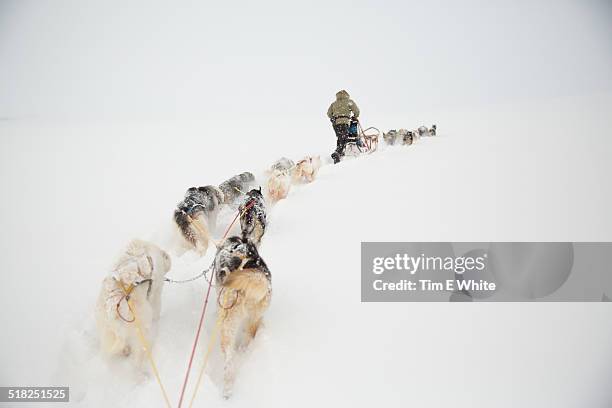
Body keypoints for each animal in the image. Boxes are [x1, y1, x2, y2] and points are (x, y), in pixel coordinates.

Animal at [95, 239, 172, 370]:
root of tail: (113, 310)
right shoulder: (156, 292)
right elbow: (157, 308)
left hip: (106, 329)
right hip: (141, 327)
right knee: (138, 355)